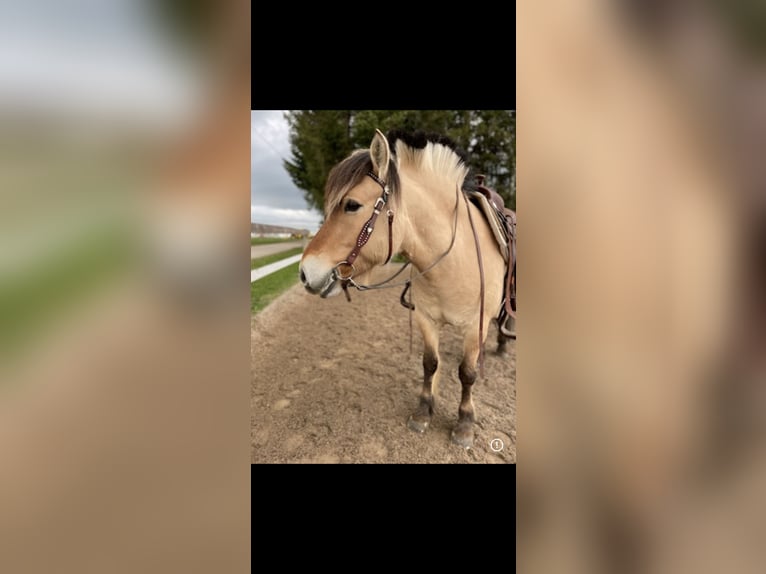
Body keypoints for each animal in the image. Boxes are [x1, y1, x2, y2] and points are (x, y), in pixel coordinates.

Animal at [299, 129, 514, 448]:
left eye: (351, 205)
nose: (304, 272)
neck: (454, 259)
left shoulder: (474, 326)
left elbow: (467, 373)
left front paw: (464, 424)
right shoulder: (426, 319)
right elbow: (430, 364)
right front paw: (423, 412)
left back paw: (502, 344)